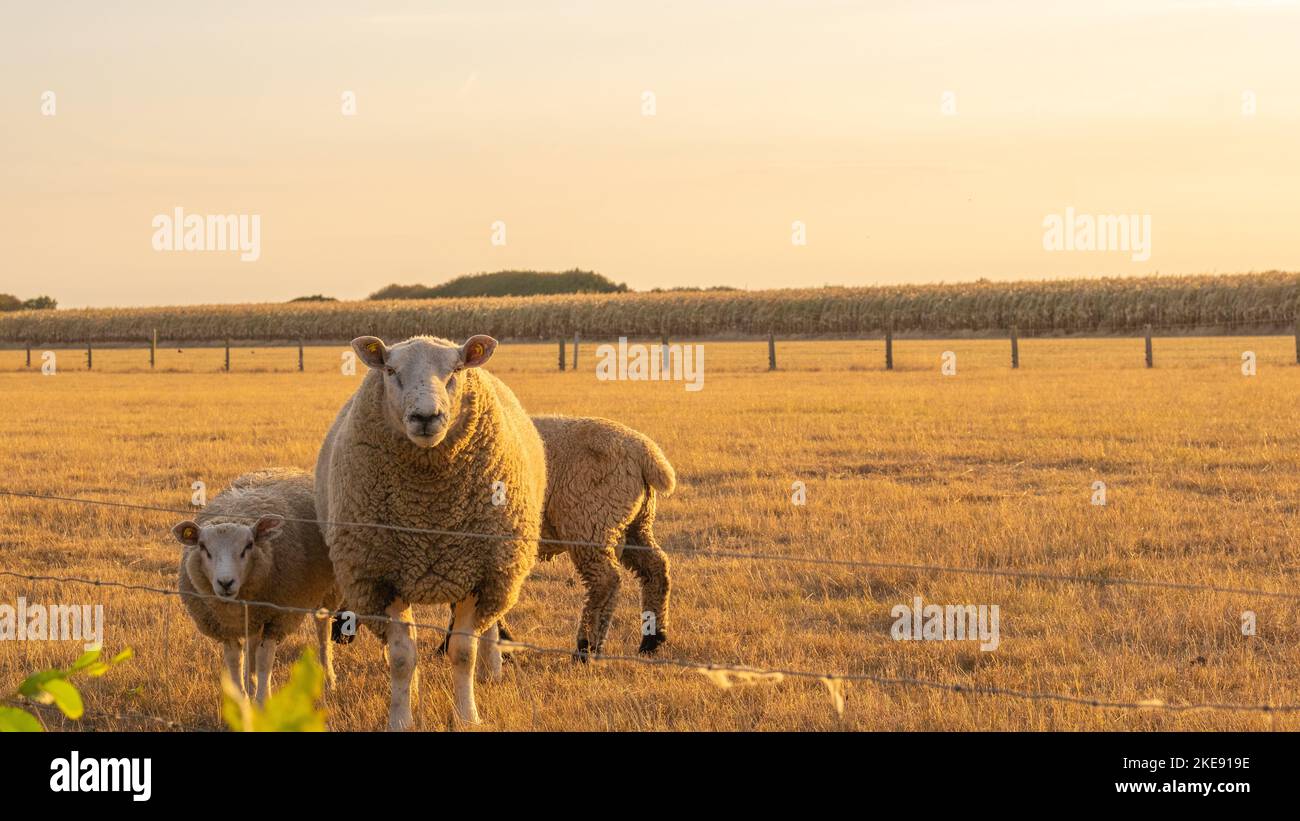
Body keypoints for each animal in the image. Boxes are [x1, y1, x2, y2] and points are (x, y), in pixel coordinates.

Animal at [171, 468, 339, 705]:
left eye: (249, 545)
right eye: (203, 547)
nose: (225, 582)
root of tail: (290, 468)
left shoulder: (276, 618)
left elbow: (264, 659)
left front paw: (261, 700)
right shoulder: (225, 627)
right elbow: (234, 659)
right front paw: (241, 701)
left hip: (327, 591)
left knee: (323, 631)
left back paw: (328, 679)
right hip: (254, 614)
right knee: (251, 641)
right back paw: (250, 683)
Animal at [316, 334, 545, 729]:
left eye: (456, 370)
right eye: (391, 370)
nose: (426, 417)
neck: (429, 511)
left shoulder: (477, 572)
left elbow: (463, 652)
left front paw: (467, 715)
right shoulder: (381, 577)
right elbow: (402, 655)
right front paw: (401, 717)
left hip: (501, 569)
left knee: (490, 624)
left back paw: (492, 670)